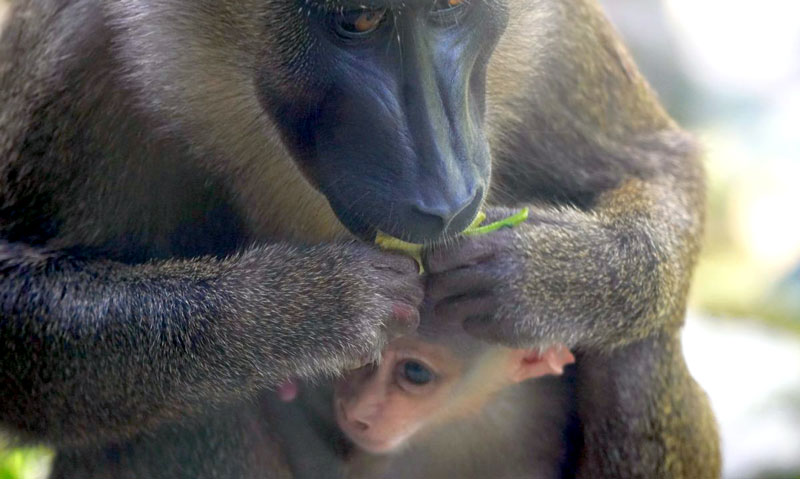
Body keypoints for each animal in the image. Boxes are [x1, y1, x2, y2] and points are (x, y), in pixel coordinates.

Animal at [0, 0, 720, 478]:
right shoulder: (77, 50)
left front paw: (547, 276)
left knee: (635, 351)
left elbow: (657, 161)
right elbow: (18, 315)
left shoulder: (559, 26)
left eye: (450, 7)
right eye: (358, 21)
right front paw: (309, 305)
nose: (445, 190)